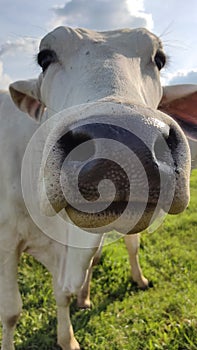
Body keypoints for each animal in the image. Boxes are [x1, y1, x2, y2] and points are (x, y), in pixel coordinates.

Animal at [1, 27, 197, 350]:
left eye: (159, 59)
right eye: (45, 57)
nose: (122, 145)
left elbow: (63, 293)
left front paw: (67, 337)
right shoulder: (6, 241)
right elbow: (11, 312)